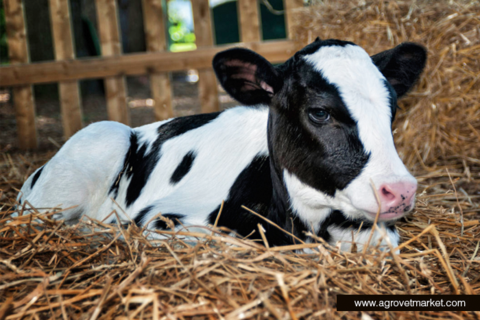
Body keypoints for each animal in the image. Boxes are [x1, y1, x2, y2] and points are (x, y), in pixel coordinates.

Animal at [16, 38, 426, 252]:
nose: (401, 190)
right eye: (320, 112)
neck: (299, 224)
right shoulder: (163, 220)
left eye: (391, 109)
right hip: (96, 146)